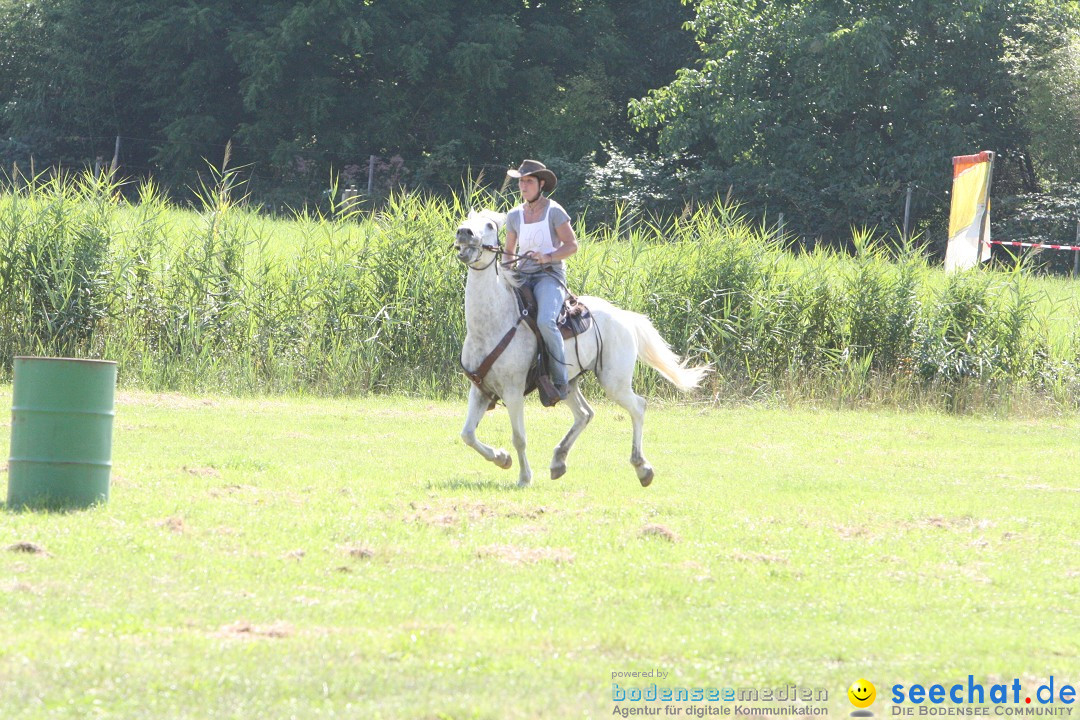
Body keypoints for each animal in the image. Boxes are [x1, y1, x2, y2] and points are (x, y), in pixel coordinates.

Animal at [449, 208, 708, 490]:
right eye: (466, 221)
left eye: (489, 225)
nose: (464, 233)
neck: (493, 323)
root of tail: (624, 316)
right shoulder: (480, 389)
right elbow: (467, 434)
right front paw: (501, 458)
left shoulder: (513, 390)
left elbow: (519, 438)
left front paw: (524, 477)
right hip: (569, 382)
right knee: (585, 414)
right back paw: (558, 461)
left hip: (614, 382)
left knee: (638, 407)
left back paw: (642, 468)